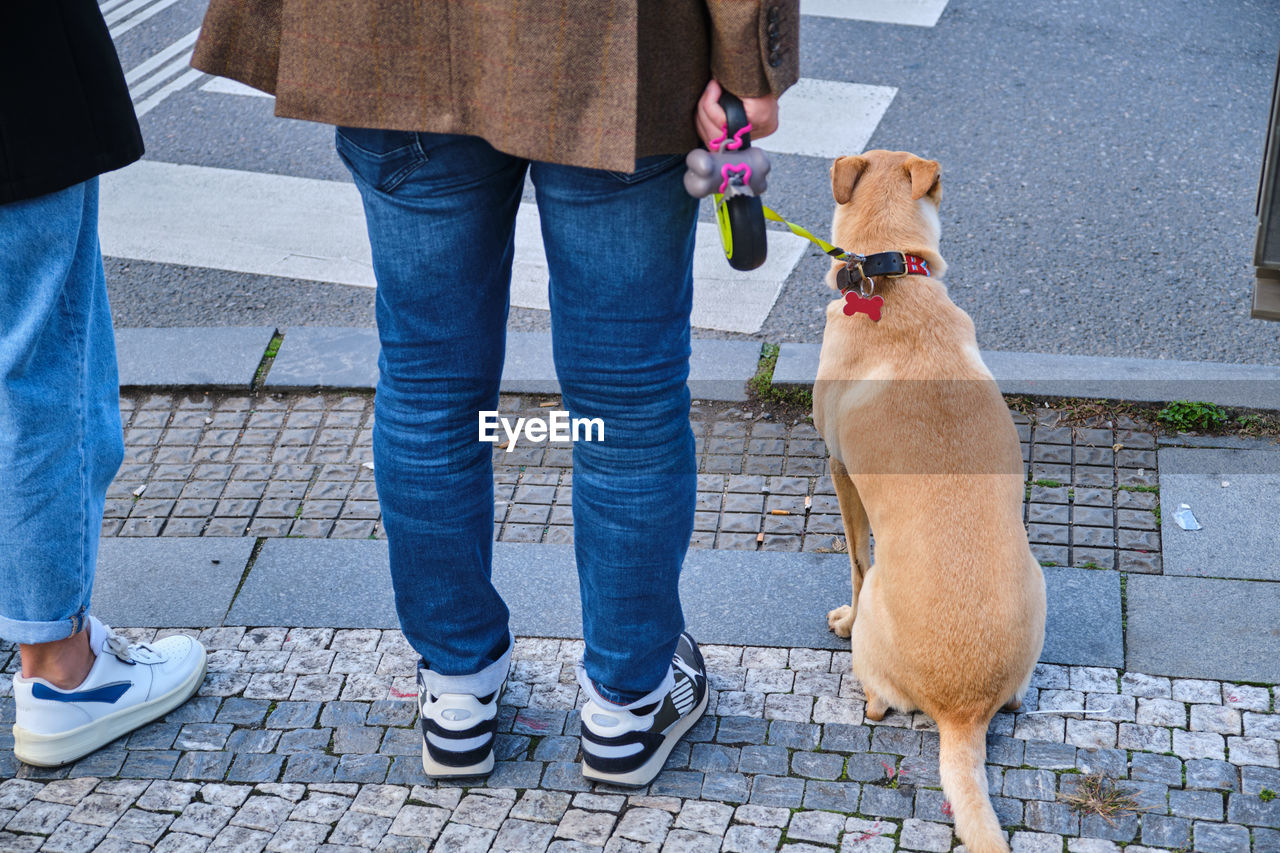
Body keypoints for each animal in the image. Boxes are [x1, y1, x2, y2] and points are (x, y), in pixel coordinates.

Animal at [814, 149, 1044, 845]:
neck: (888, 276)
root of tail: (962, 713)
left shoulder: (838, 466)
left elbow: (856, 560)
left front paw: (842, 616)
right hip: (1040, 581)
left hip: (878, 647)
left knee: (878, 698)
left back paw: (867, 687)